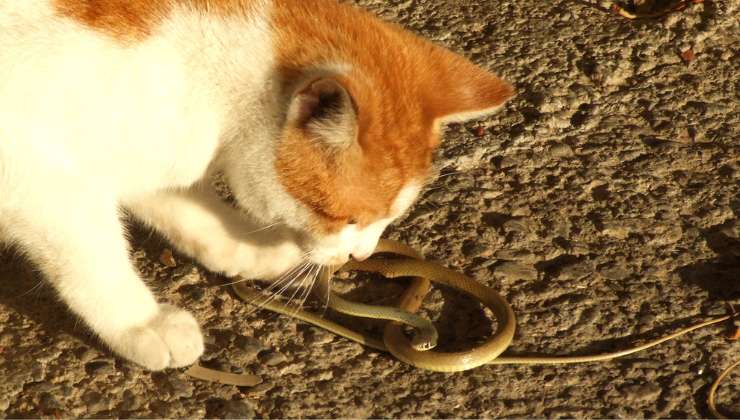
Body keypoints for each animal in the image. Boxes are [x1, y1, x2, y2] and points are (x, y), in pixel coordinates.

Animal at [0, 0, 516, 370]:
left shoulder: (150, 155)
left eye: (388, 219)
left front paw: (257, 252)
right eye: (345, 218)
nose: (361, 256)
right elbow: (94, 260)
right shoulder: (36, 178)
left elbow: (199, 220)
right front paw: (140, 324)